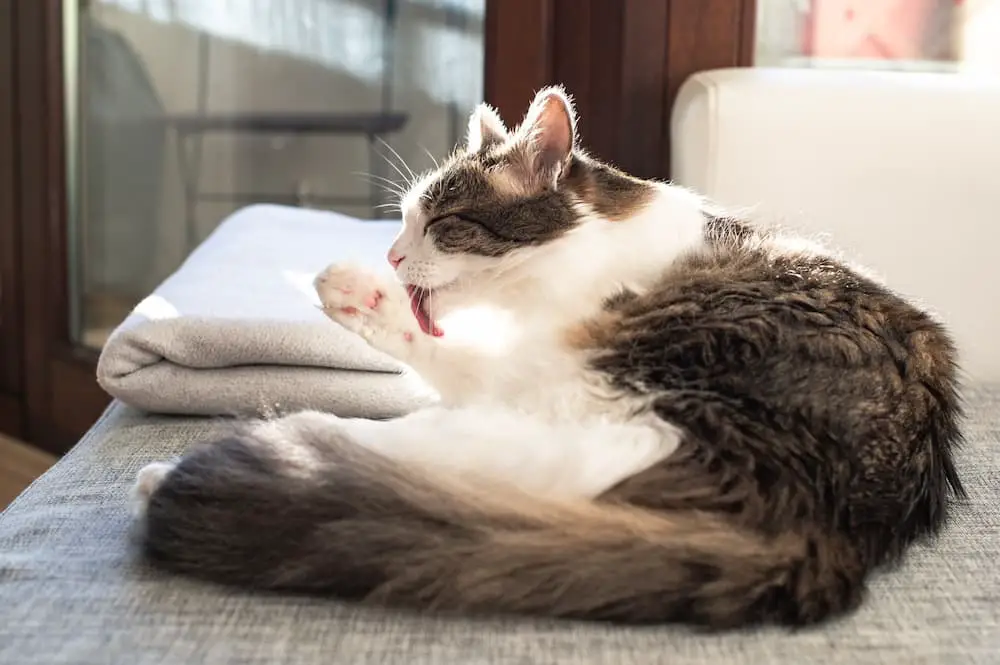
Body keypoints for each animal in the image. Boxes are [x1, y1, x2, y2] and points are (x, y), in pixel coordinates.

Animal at [131, 84, 960, 628]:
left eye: (441, 224)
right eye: (403, 220)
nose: (392, 256)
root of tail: (846, 528)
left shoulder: (530, 357)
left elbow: (441, 356)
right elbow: (429, 346)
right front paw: (363, 295)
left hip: (616, 402)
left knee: (445, 457)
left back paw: (168, 474)